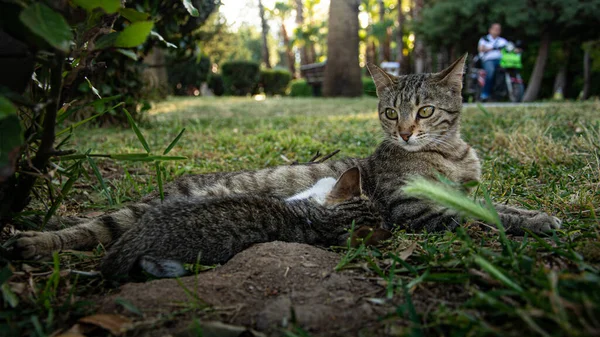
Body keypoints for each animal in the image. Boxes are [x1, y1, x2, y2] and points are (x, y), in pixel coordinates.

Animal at [10, 54, 564, 260]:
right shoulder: (414, 208)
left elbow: (495, 204)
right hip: (137, 215)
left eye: (425, 110)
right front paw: (531, 223)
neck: (448, 153)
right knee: (91, 227)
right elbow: (484, 216)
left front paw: (537, 215)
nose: (406, 133)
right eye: (391, 113)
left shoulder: (462, 187)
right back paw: (31, 241)